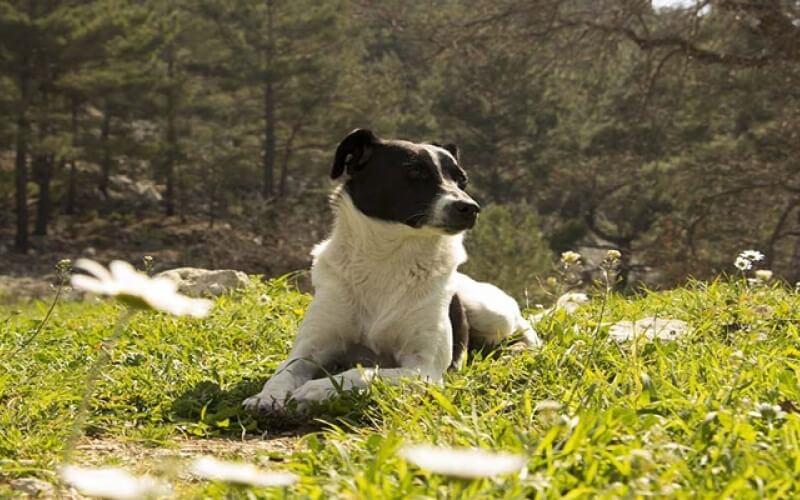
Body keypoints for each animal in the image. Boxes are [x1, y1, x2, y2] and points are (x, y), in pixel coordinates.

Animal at [241, 129, 540, 414]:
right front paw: (266, 396)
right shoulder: (309, 349)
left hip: (489, 312)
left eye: (461, 180)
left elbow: (364, 373)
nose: (471, 208)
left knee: (521, 324)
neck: (386, 259)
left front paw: (317, 390)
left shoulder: (423, 369)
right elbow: (283, 372)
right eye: (415, 172)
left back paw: (523, 347)